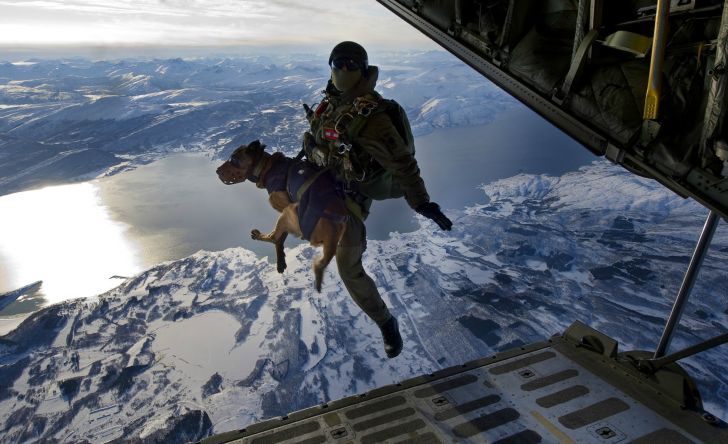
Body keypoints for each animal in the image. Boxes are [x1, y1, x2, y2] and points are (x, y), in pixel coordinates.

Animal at [215, 139, 348, 292]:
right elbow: (282, 237)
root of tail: (332, 234)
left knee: (273, 237)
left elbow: (279, 238)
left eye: (233, 159)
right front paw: (281, 260)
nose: (217, 170)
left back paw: (258, 235)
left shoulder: (286, 209)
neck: (267, 168)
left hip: (288, 213)